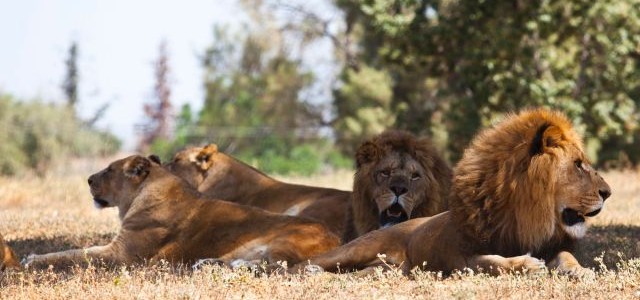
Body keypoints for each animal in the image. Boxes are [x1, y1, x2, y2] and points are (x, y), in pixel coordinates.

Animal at [22, 155, 340, 268]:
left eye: (110, 169)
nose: (88, 179)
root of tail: (336, 238)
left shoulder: (121, 255)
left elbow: (72, 253)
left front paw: (32, 259)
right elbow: (76, 251)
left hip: (277, 242)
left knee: (276, 266)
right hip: (246, 247)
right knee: (248, 262)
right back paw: (208, 264)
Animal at [290, 109, 608, 278]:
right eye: (578, 165)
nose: (608, 192)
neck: (528, 217)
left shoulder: (553, 246)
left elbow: (567, 256)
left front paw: (581, 271)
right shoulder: (462, 258)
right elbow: (491, 262)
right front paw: (526, 263)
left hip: (390, 268)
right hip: (358, 248)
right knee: (307, 263)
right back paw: (303, 271)